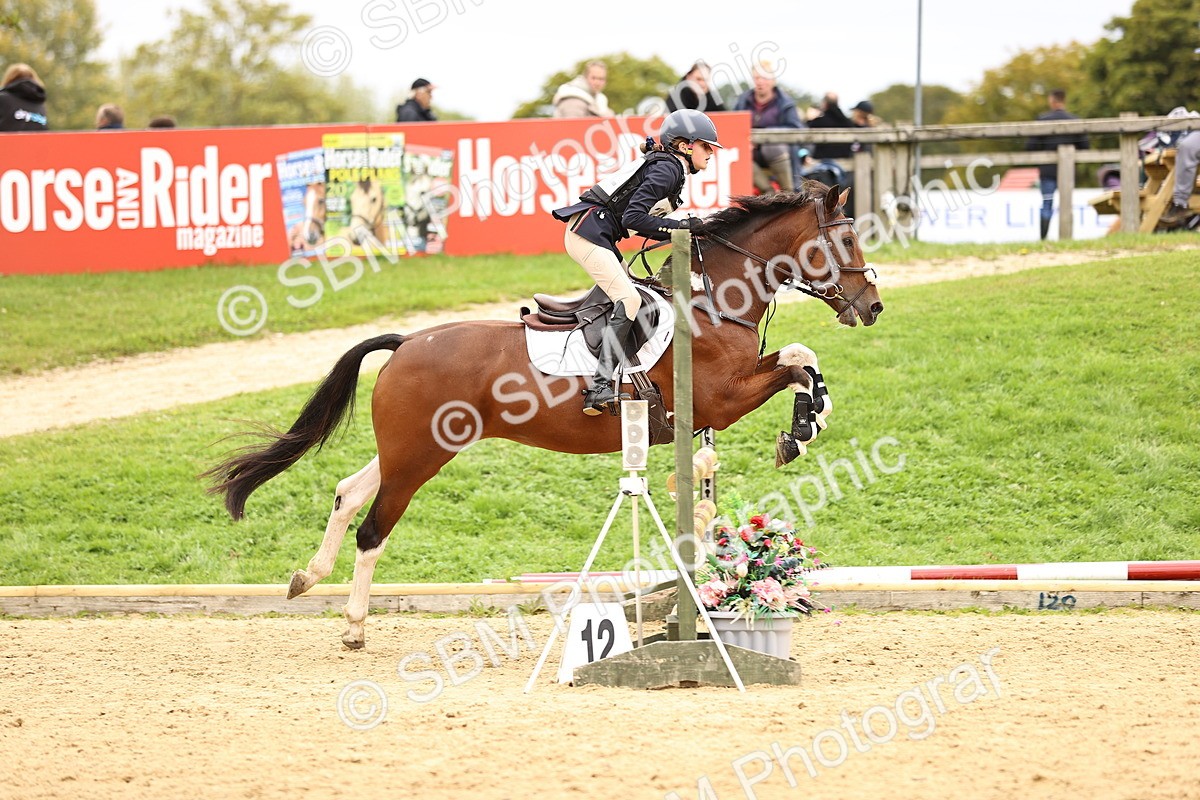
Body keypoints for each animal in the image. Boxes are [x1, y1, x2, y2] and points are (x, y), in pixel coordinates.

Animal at [206, 183, 883, 649]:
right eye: (847, 241)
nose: (873, 306)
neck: (715, 299)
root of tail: (406, 342)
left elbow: (801, 358)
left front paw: (807, 422)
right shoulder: (724, 396)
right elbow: (797, 361)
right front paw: (802, 427)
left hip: (405, 448)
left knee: (348, 492)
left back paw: (307, 579)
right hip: (422, 456)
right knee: (373, 528)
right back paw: (352, 625)